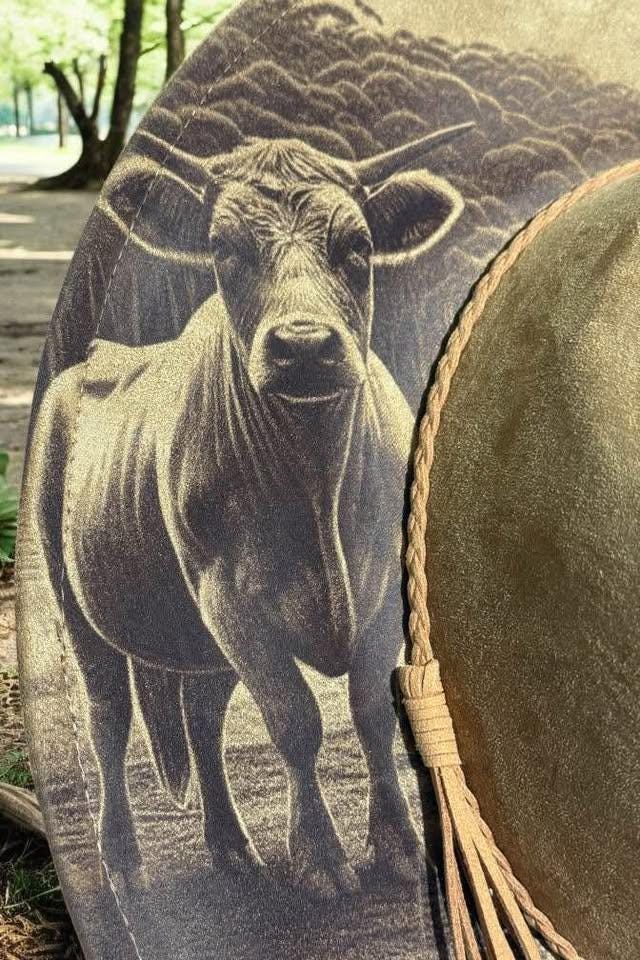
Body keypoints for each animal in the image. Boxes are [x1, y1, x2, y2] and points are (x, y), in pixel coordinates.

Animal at [21, 125, 470, 897]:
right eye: (224, 251)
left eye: (357, 248)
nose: (303, 347)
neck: (316, 482)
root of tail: (94, 357)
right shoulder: (232, 600)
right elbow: (294, 720)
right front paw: (320, 857)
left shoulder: (378, 601)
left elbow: (369, 715)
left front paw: (396, 847)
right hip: (81, 607)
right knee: (108, 718)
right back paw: (123, 863)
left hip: (199, 639)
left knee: (201, 720)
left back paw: (231, 847)